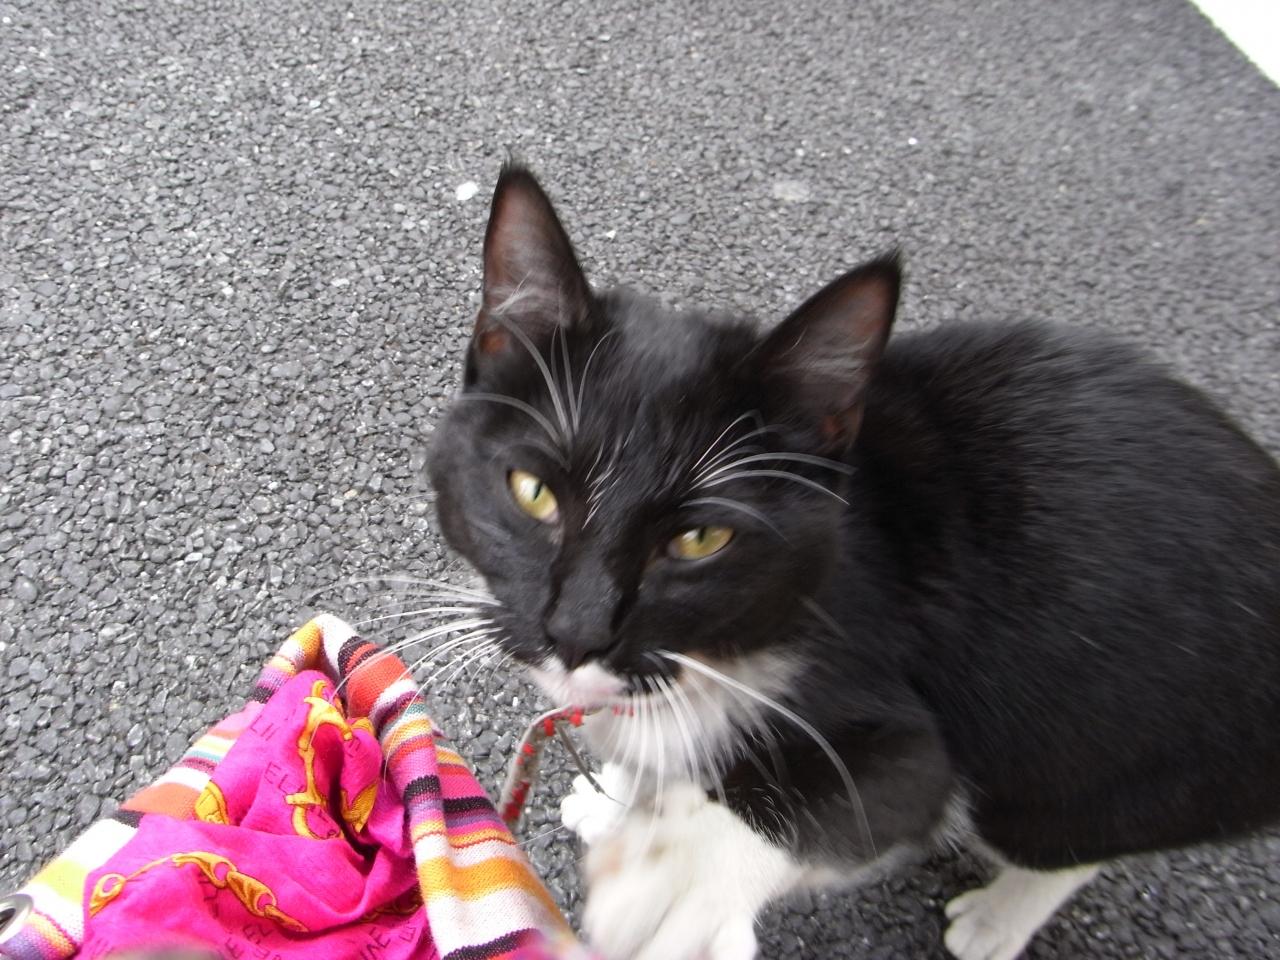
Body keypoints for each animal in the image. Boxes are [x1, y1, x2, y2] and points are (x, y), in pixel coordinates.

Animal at [426, 163, 1280, 960]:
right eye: (533, 491)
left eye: (700, 541)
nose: (577, 631)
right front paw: (620, 801)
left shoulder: (885, 685)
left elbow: (870, 794)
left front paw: (683, 878)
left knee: (1064, 842)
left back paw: (996, 921)